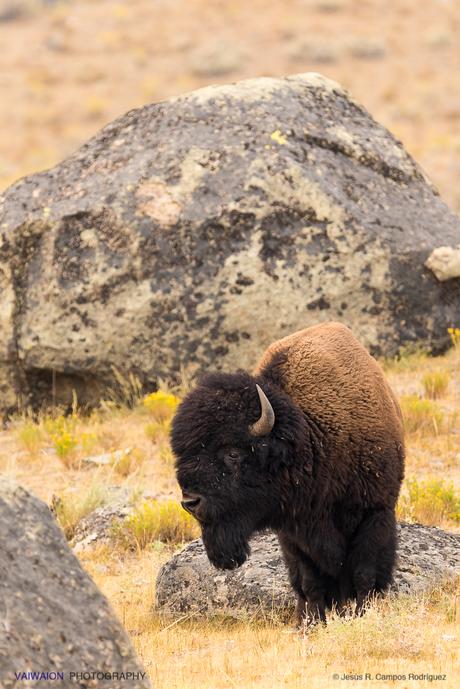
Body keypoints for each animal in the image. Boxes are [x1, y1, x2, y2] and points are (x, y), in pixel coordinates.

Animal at [171, 322, 404, 624]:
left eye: (233, 453)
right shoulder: (294, 534)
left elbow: (364, 574)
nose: (190, 501)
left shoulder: (373, 514)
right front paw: (313, 623)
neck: (311, 436)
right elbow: (309, 583)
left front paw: (362, 615)